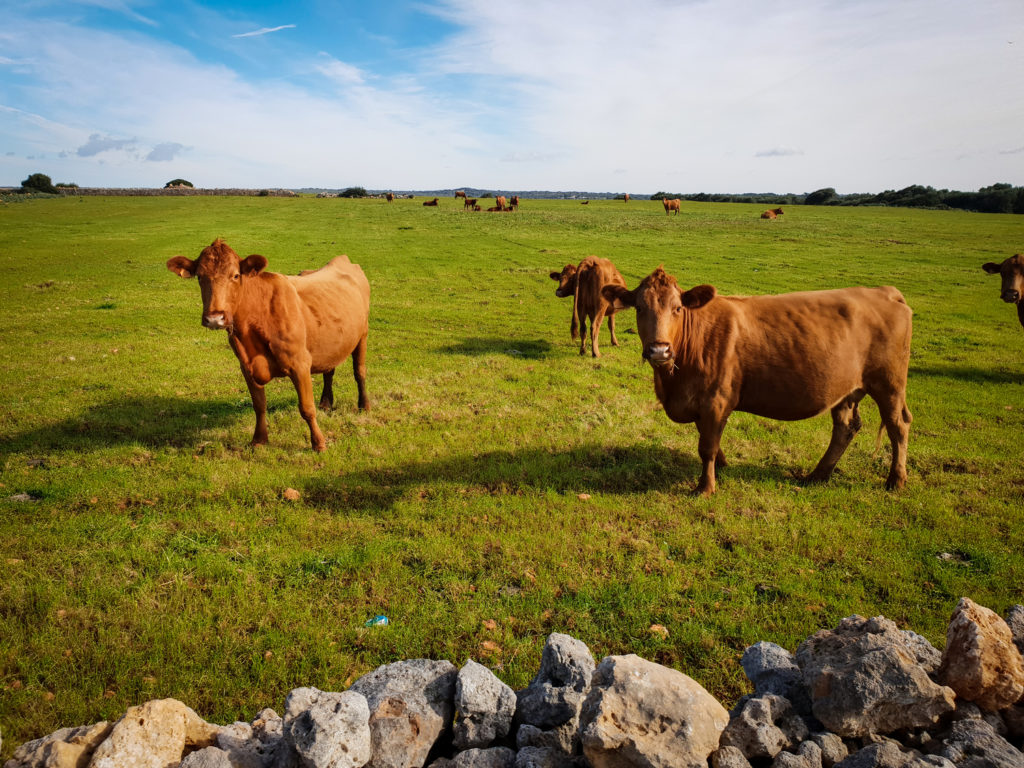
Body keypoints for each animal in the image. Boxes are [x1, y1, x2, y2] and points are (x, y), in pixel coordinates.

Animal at [167, 240, 372, 454]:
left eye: (236, 275)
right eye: (200, 276)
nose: (215, 318)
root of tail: (342, 260)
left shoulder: (300, 363)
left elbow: (307, 408)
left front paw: (318, 443)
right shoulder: (246, 366)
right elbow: (259, 405)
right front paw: (259, 439)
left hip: (363, 334)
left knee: (359, 372)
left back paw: (363, 405)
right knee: (329, 371)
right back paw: (325, 403)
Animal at [598, 268, 913, 495]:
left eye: (677, 308)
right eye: (639, 308)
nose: (659, 350)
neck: (674, 381)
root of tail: (885, 292)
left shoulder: (715, 400)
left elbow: (706, 446)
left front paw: (705, 487)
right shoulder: (700, 403)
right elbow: (709, 439)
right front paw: (722, 466)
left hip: (889, 385)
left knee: (898, 427)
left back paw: (895, 480)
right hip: (846, 389)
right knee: (845, 428)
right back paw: (817, 475)